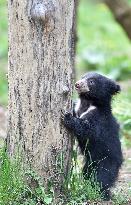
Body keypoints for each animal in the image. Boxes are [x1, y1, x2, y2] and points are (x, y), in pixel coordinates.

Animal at [62, 71, 123, 200]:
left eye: (91, 82)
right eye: (82, 77)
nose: (77, 84)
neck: (87, 102)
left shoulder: (98, 118)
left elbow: (87, 129)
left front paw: (67, 117)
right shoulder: (77, 107)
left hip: (106, 162)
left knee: (101, 179)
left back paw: (103, 195)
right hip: (89, 164)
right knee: (87, 175)